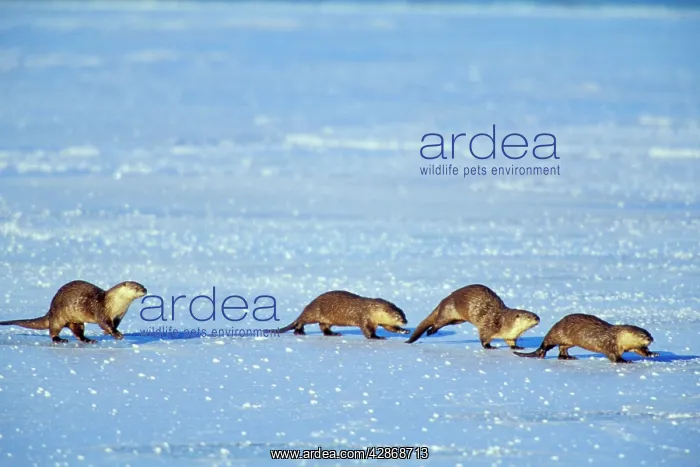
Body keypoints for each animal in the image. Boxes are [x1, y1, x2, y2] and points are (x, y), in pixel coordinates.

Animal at [0, 280, 147, 343]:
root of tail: (50, 311)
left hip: (76, 322)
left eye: (143, 285)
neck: (115, 305)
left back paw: (88, 340)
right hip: (58, 317)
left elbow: (113, 325)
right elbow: (104, 323)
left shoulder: (119, 316)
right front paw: (117, 335)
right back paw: (60, 340)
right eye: (136, 287)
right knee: (53, 331)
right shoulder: (101, 310)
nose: (145, 289)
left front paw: (110, 332)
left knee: (78, 333)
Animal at [278, 290, 409, 339]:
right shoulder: (365, 317)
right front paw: (377, 337)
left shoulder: (380, 321)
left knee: (323, 327)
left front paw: (404, 331)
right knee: (302, 320)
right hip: (314, 313)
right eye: (397, 316)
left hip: (326, 320)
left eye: (404, 314)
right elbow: (367, 331)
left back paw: (334, 334)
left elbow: (390, 327)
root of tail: (310, 304)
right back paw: (299, 331)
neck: (371, 310)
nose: (405, 321)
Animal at [406, 284, 540, 348]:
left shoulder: (510, 336)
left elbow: (511, 342)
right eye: (529, 316)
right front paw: (489, 347)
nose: (538, 318)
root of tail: (445, 299)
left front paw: (517, 347)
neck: (503, 323)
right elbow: (483, 339)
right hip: (448, 312)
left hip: (457, 320)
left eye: (535, 314)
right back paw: (430, 331)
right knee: (438, 322)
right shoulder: (488, 326)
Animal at [514, 313, 658, 363]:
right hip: (557, 334)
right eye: (643, 335)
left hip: (569, 342)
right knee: (546, 345)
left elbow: (640, 350)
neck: (618, 337)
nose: (651, 339)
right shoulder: (609, 344)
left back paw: (568, 357)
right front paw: (624, 361)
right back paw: (542, 353)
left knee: (562, 348)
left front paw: (652, 353)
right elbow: (613, 356)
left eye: (650, 333)